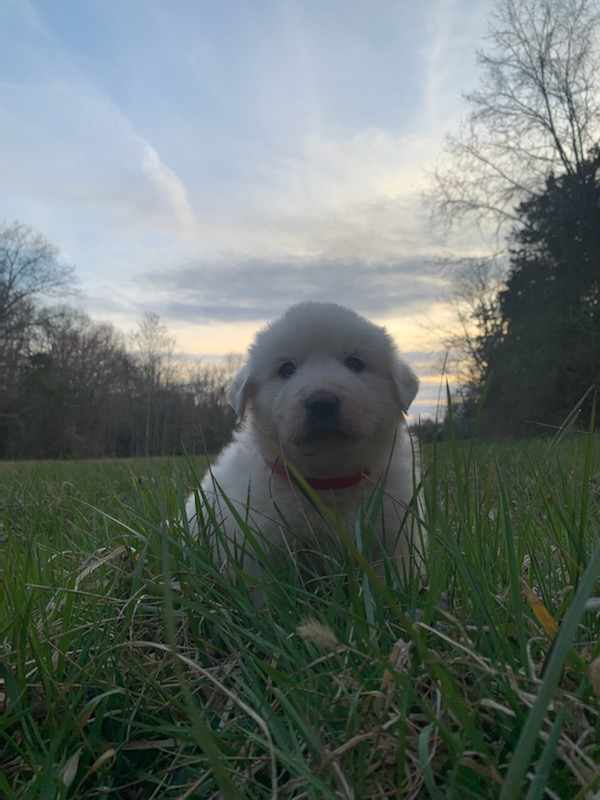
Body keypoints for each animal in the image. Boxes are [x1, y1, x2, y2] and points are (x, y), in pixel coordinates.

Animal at [186, 304, 422, 580]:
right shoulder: (257, 543)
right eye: (286, 369)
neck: (328, 482)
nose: (322, 402)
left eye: (355, 363)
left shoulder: (396, 533)